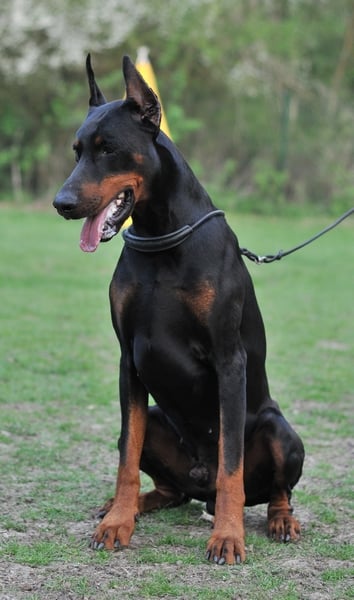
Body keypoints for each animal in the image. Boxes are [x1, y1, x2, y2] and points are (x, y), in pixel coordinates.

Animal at [53, 54, 304, 564]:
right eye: (77, 151)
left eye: (108, 149)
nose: (61, 203)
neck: (160, 237)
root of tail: (198, 486)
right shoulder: (128, 360)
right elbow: (126, 460)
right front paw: (117, 523)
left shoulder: (229, 359)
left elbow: (231, 465)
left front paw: (228, 537)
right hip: (155, 420)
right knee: (168, 488)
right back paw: (129, 505)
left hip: (280, 430)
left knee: (272, 490)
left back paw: (280, 520)